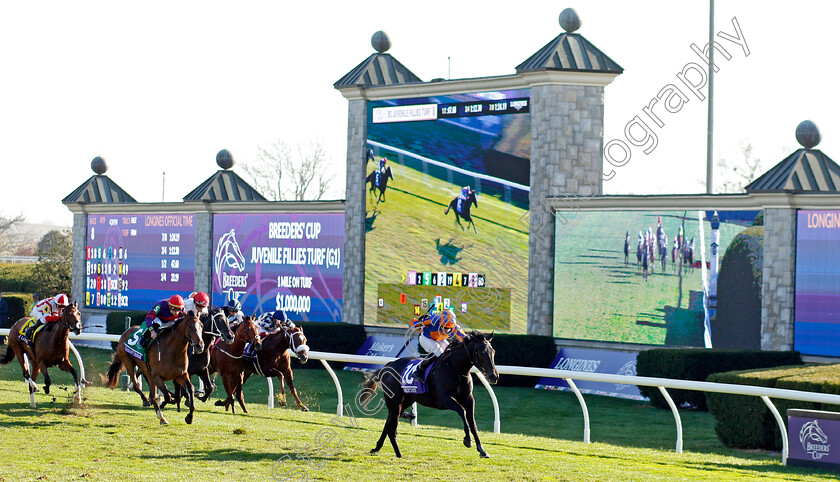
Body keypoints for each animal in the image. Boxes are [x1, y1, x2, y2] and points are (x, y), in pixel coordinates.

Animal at [360, 332, 498, 460]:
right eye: (481, 353)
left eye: (493, 352)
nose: (494, 376)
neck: (455, 368)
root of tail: (388, 365)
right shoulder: (443, 400)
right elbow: (462, 411)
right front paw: (467, 440)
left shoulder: (468, 399)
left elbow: (472, 422)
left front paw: (482, 450)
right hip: (394, 400)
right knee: (391, 425)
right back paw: (398, 453)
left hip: (405, 400)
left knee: (389, 421)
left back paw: (377, 447)